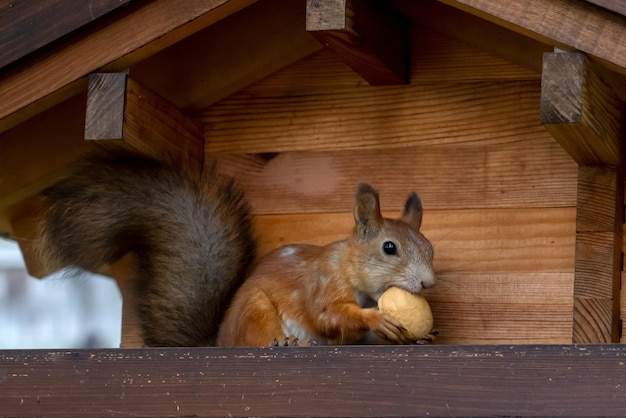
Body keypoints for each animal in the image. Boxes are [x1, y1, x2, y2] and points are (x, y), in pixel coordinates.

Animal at [217, 183, 436, 346]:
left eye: (430, 248)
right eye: (389, 247)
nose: (429, 283)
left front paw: (421, 338)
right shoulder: (326, 281)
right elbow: (325, 317)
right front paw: (375, 318)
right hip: (253, 310)